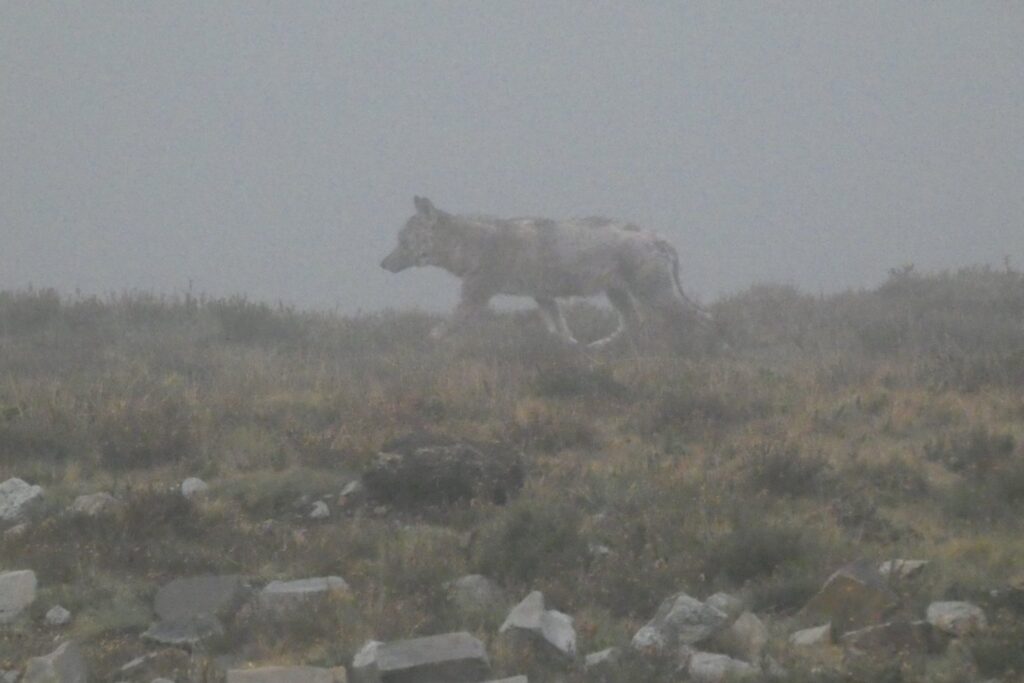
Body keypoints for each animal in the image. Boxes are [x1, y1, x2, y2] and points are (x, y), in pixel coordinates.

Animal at [381, 196, 709, 347]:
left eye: (402, 240)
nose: (382, 264)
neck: (469, 244)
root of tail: (660, 238)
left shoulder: (476, 296)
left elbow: (443, 328)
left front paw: (424, 343)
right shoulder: (543, 297)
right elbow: (560, 330)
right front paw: (572, 349)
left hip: (654, 295)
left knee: (698, 318)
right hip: (618, 294)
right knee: (632, 323)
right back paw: (598, 347)